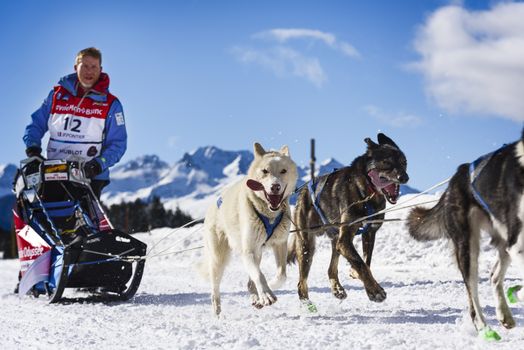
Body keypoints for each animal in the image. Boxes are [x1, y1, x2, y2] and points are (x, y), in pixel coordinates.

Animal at [201, 142, 296, 314]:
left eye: (283, 171)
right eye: (265, 171)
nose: (275, 186)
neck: (269, 214)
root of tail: (215, 202)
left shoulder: (280, 244)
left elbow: (281, 275)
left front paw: (268, 289)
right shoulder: (249, 250)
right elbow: (259, 275)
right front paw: (266, 293)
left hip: (257, 252)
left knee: (251, 280)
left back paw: (254, 296)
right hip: (219, 258)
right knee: (215, 290)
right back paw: (217, 313)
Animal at [290, 133, 410, 308]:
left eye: (403, 162)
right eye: (387, 162)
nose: (404, 177)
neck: (367, 195)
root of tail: (304, 189)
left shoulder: (369, 233)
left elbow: (366, 262)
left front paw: (358, 275)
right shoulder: (346, 239)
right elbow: (360, 263)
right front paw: (375, 291)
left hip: (336, 240)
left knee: (331, 268)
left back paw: (337, 289)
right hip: (308, 245)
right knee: (301, 282)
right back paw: (307, 304)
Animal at [408, 128, 524, 340]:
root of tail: (457, 175)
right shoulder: (518, 244)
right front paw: (518, 292)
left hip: (503, 241)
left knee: (494, 275)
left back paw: (504, 313)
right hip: (468, 246)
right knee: (473, 297)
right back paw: (485, 328)